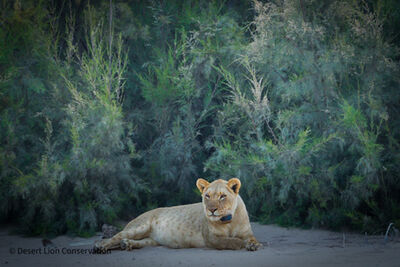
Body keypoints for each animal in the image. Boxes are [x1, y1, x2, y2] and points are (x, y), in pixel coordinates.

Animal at [94, 178, 262, 251]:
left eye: (222, 196)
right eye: (207, 196)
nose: (211, 210)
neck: (229, 221)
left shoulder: (247, 232)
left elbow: (251, 238)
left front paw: (253, 244)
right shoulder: (211, 238)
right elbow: (229, 241)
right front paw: (241, 244)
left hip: (151, 240)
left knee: (137, 241)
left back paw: (127, 244)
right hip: (139, 227)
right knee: (114, 237)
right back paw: (100, 246)